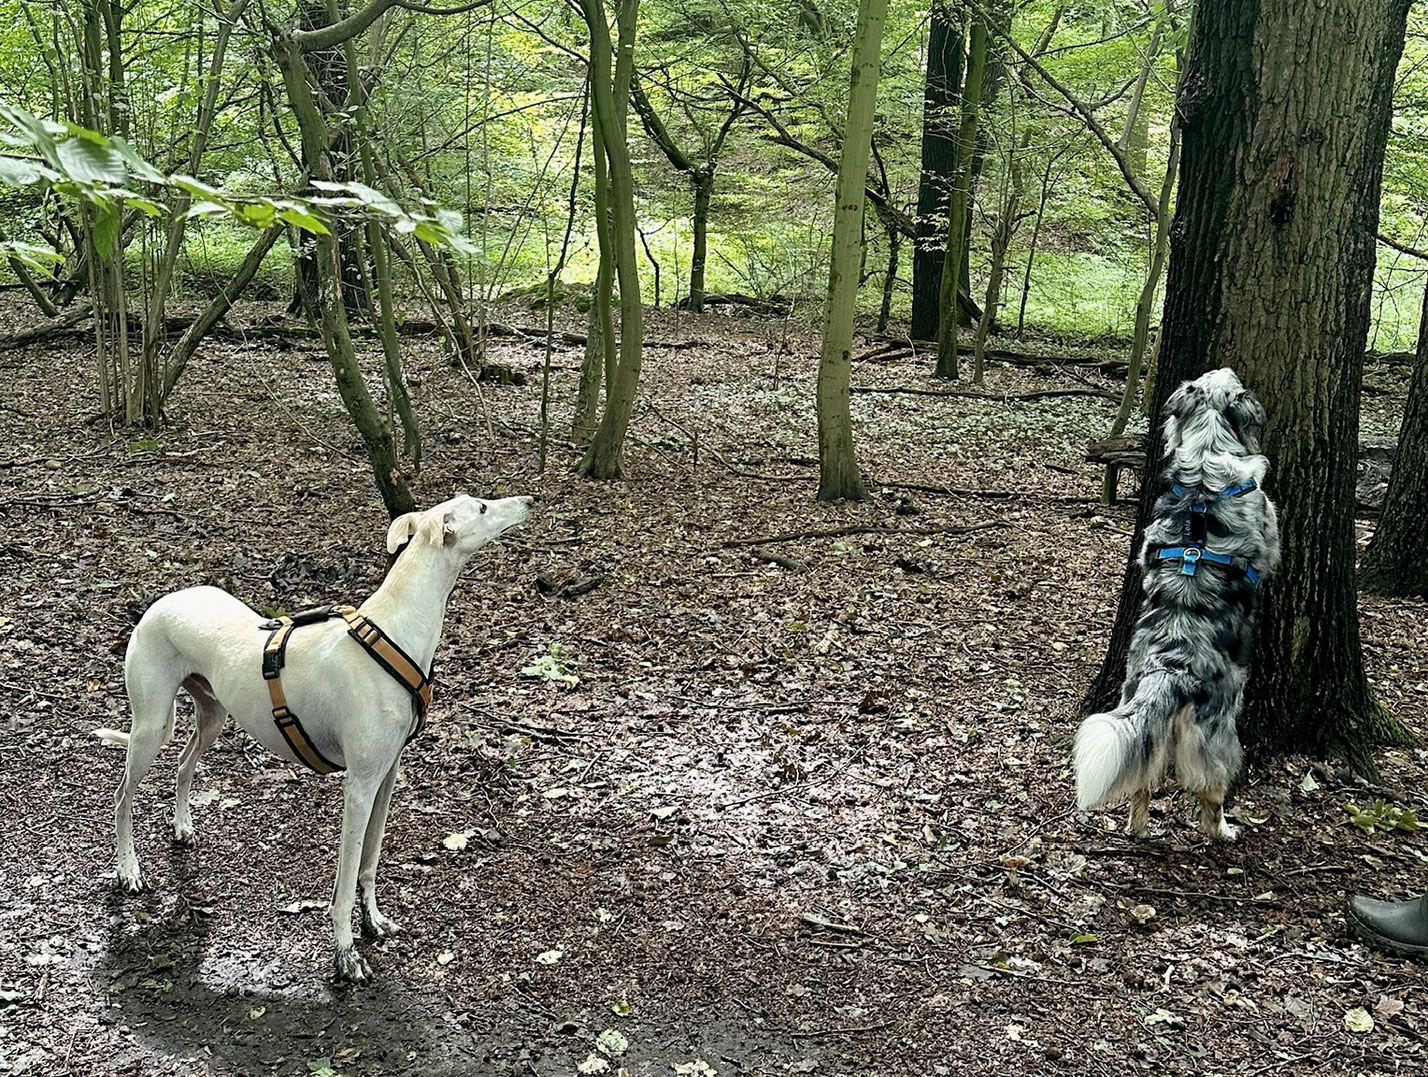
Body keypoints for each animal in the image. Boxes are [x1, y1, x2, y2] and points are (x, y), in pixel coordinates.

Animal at [95, 493, 533, 982]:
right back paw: (128, 870)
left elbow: (369, 861)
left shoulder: (386, 778)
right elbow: (344, 878)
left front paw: (373, 920)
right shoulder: (358, 786)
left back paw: (183, 827)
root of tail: (159, 604)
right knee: (122, 796)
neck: (393, 633)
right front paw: (346, 953)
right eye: (483, 507)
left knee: (183, 764)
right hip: (150, 726)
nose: (528, 501)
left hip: (212, 717)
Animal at [1075, 368, 1280, 841]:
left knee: (1142, 782)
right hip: (1219, 733)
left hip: (1137, 710)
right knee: (1210, 788)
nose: (1231, 367)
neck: (1206, 467)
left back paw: (1138, 829)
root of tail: (1170, 670)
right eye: (1230, 379)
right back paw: (1221, 830)